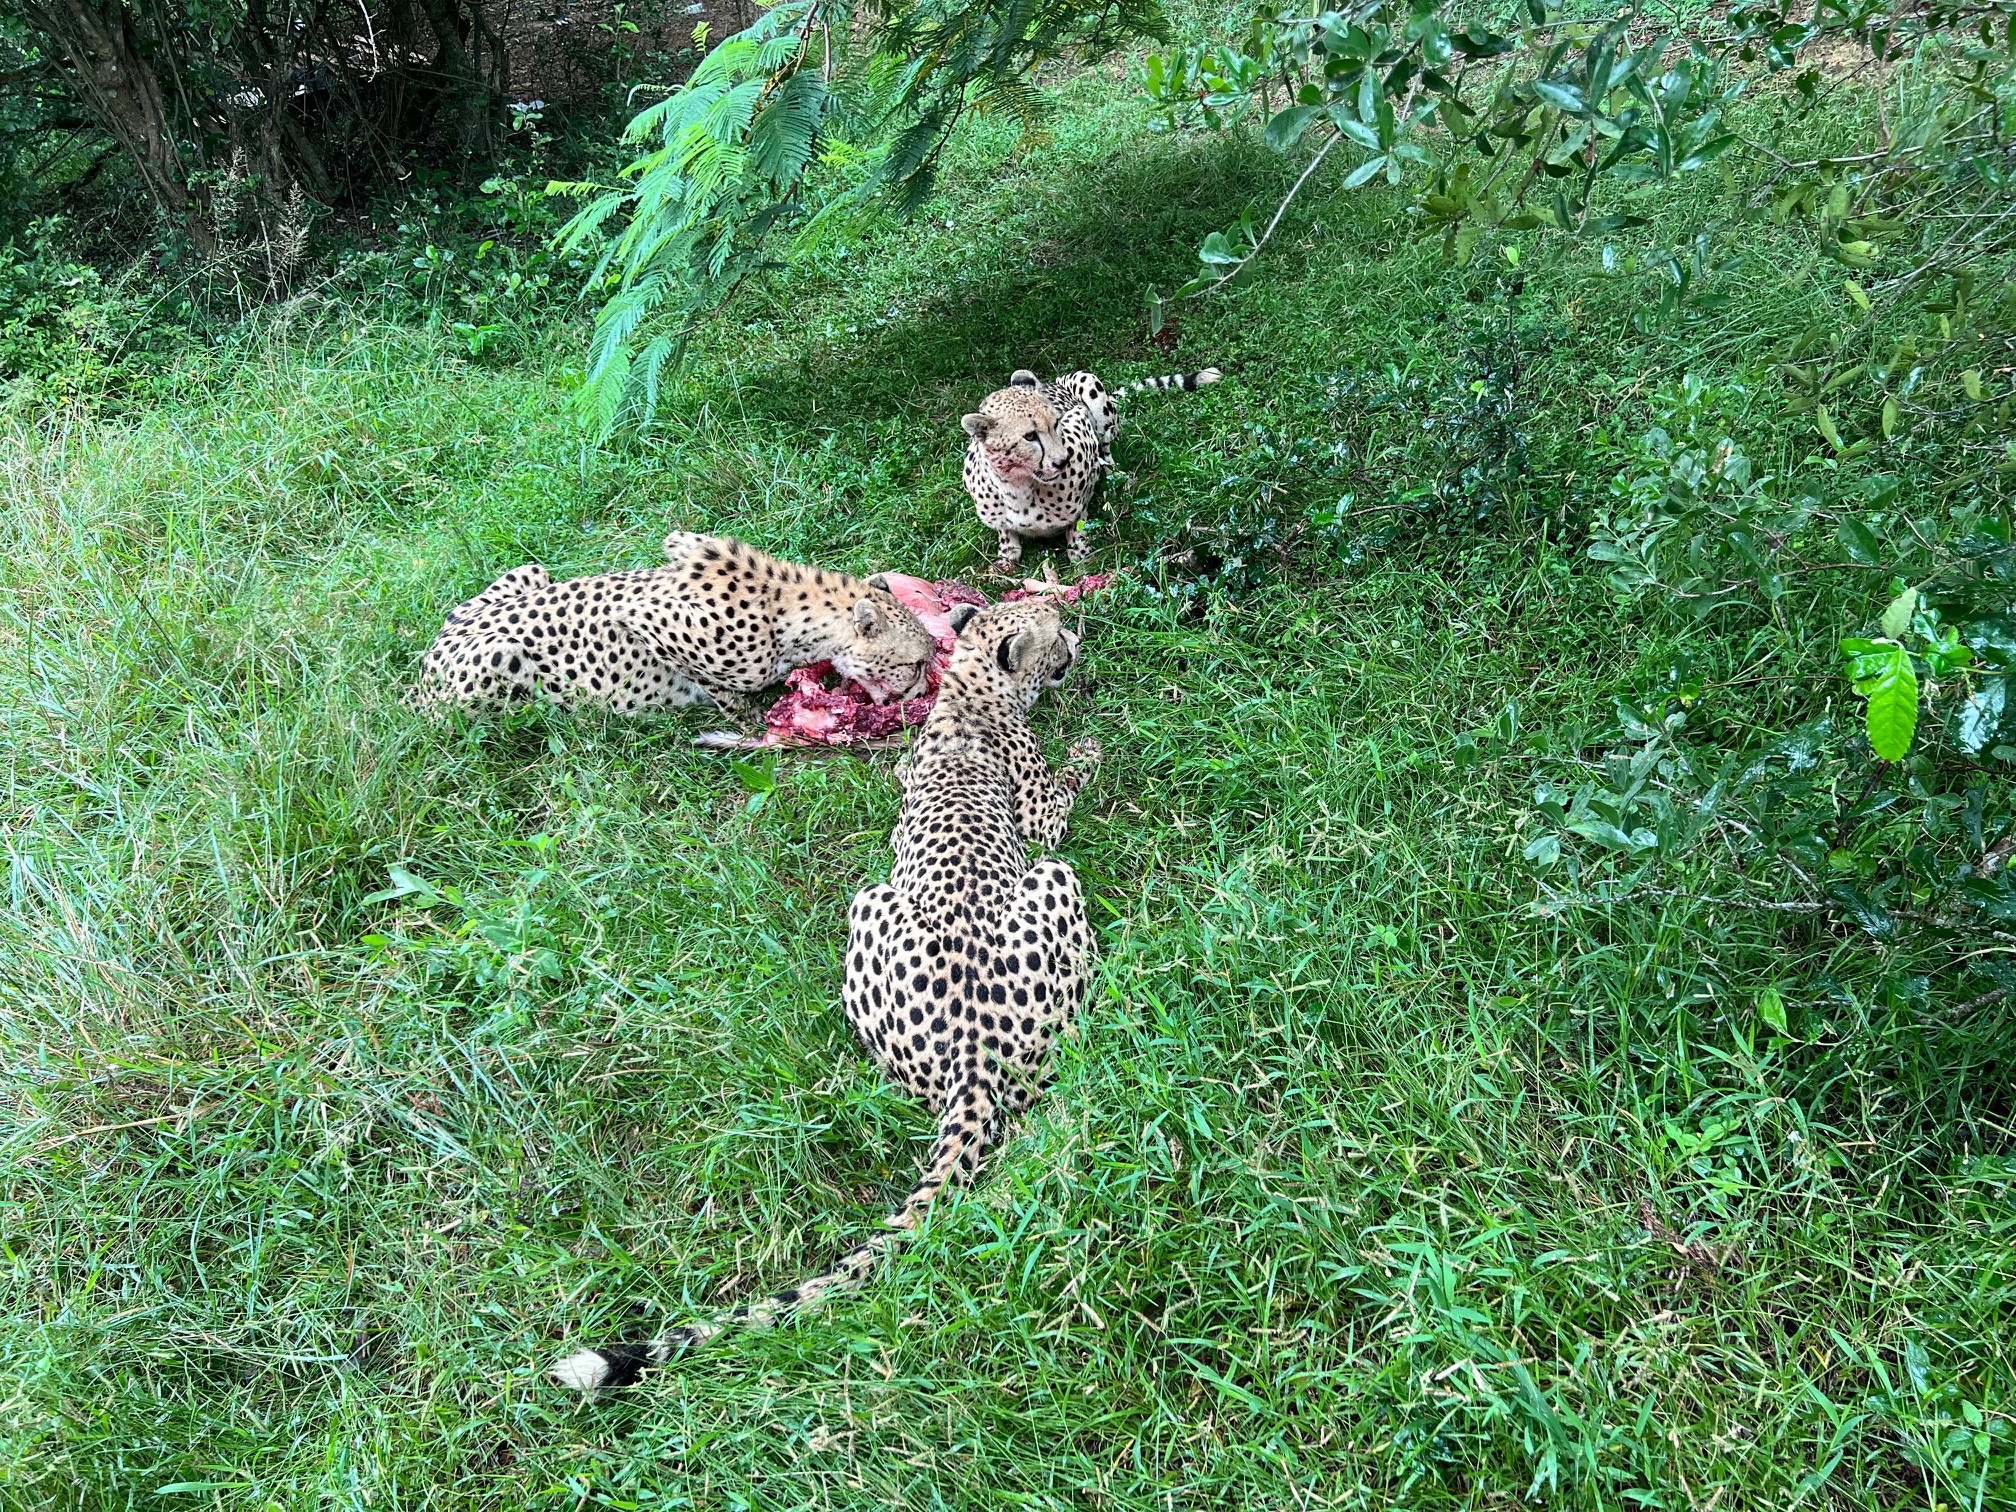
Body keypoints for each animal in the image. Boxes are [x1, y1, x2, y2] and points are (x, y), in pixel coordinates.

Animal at [407, 532, 936, 720]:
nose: (918, 694)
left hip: (530, 572)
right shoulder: (648, 621)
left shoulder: (680, 542)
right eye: (914, 663)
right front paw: (743, 715)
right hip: (497, 657)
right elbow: (722, 689)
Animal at [548, 597, 1099, 1395]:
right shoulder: (1041, 824)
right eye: (1053, 632)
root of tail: (974, 1055)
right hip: (974, 892)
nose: (1077, 639)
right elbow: (1063, 792)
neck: (969, 691)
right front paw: (1089, 745)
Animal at [959, 365, 1221, 573]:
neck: (1018, 487)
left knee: (1106, 448)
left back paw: (1119, 480)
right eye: (1029, 436)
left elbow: (1078, 517)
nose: (1062, 460)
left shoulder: (1079, 422)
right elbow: (1005, 532)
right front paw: (1005, 556)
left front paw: (1080, 552)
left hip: (1090, 386)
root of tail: (1052, 381)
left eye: (1057, 423)